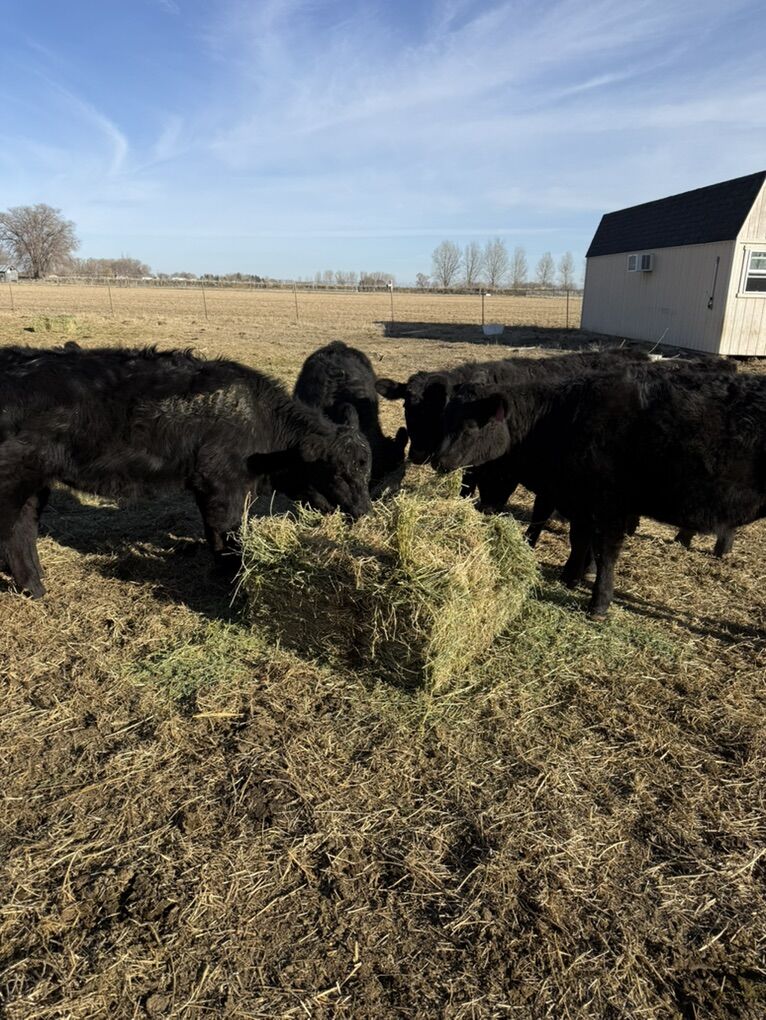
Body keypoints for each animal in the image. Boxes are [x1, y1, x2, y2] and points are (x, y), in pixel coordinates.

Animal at [0, 345, 372, 598]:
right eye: (339, 473)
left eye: (365, 470)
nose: (364, 511)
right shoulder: (222, 485)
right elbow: (226, 534)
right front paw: (231, 578)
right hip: (15, 480)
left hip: (35, 485)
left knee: (22, 532)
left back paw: (35, 586)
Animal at [432, 364, 765, 616]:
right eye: (445, 418)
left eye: (472, 426)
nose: (439, 459)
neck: (564, 417)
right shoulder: (580, 501)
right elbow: (579, 539)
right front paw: (571, 577)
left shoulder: (609, 505)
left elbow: (606, 551)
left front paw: (598, 603)